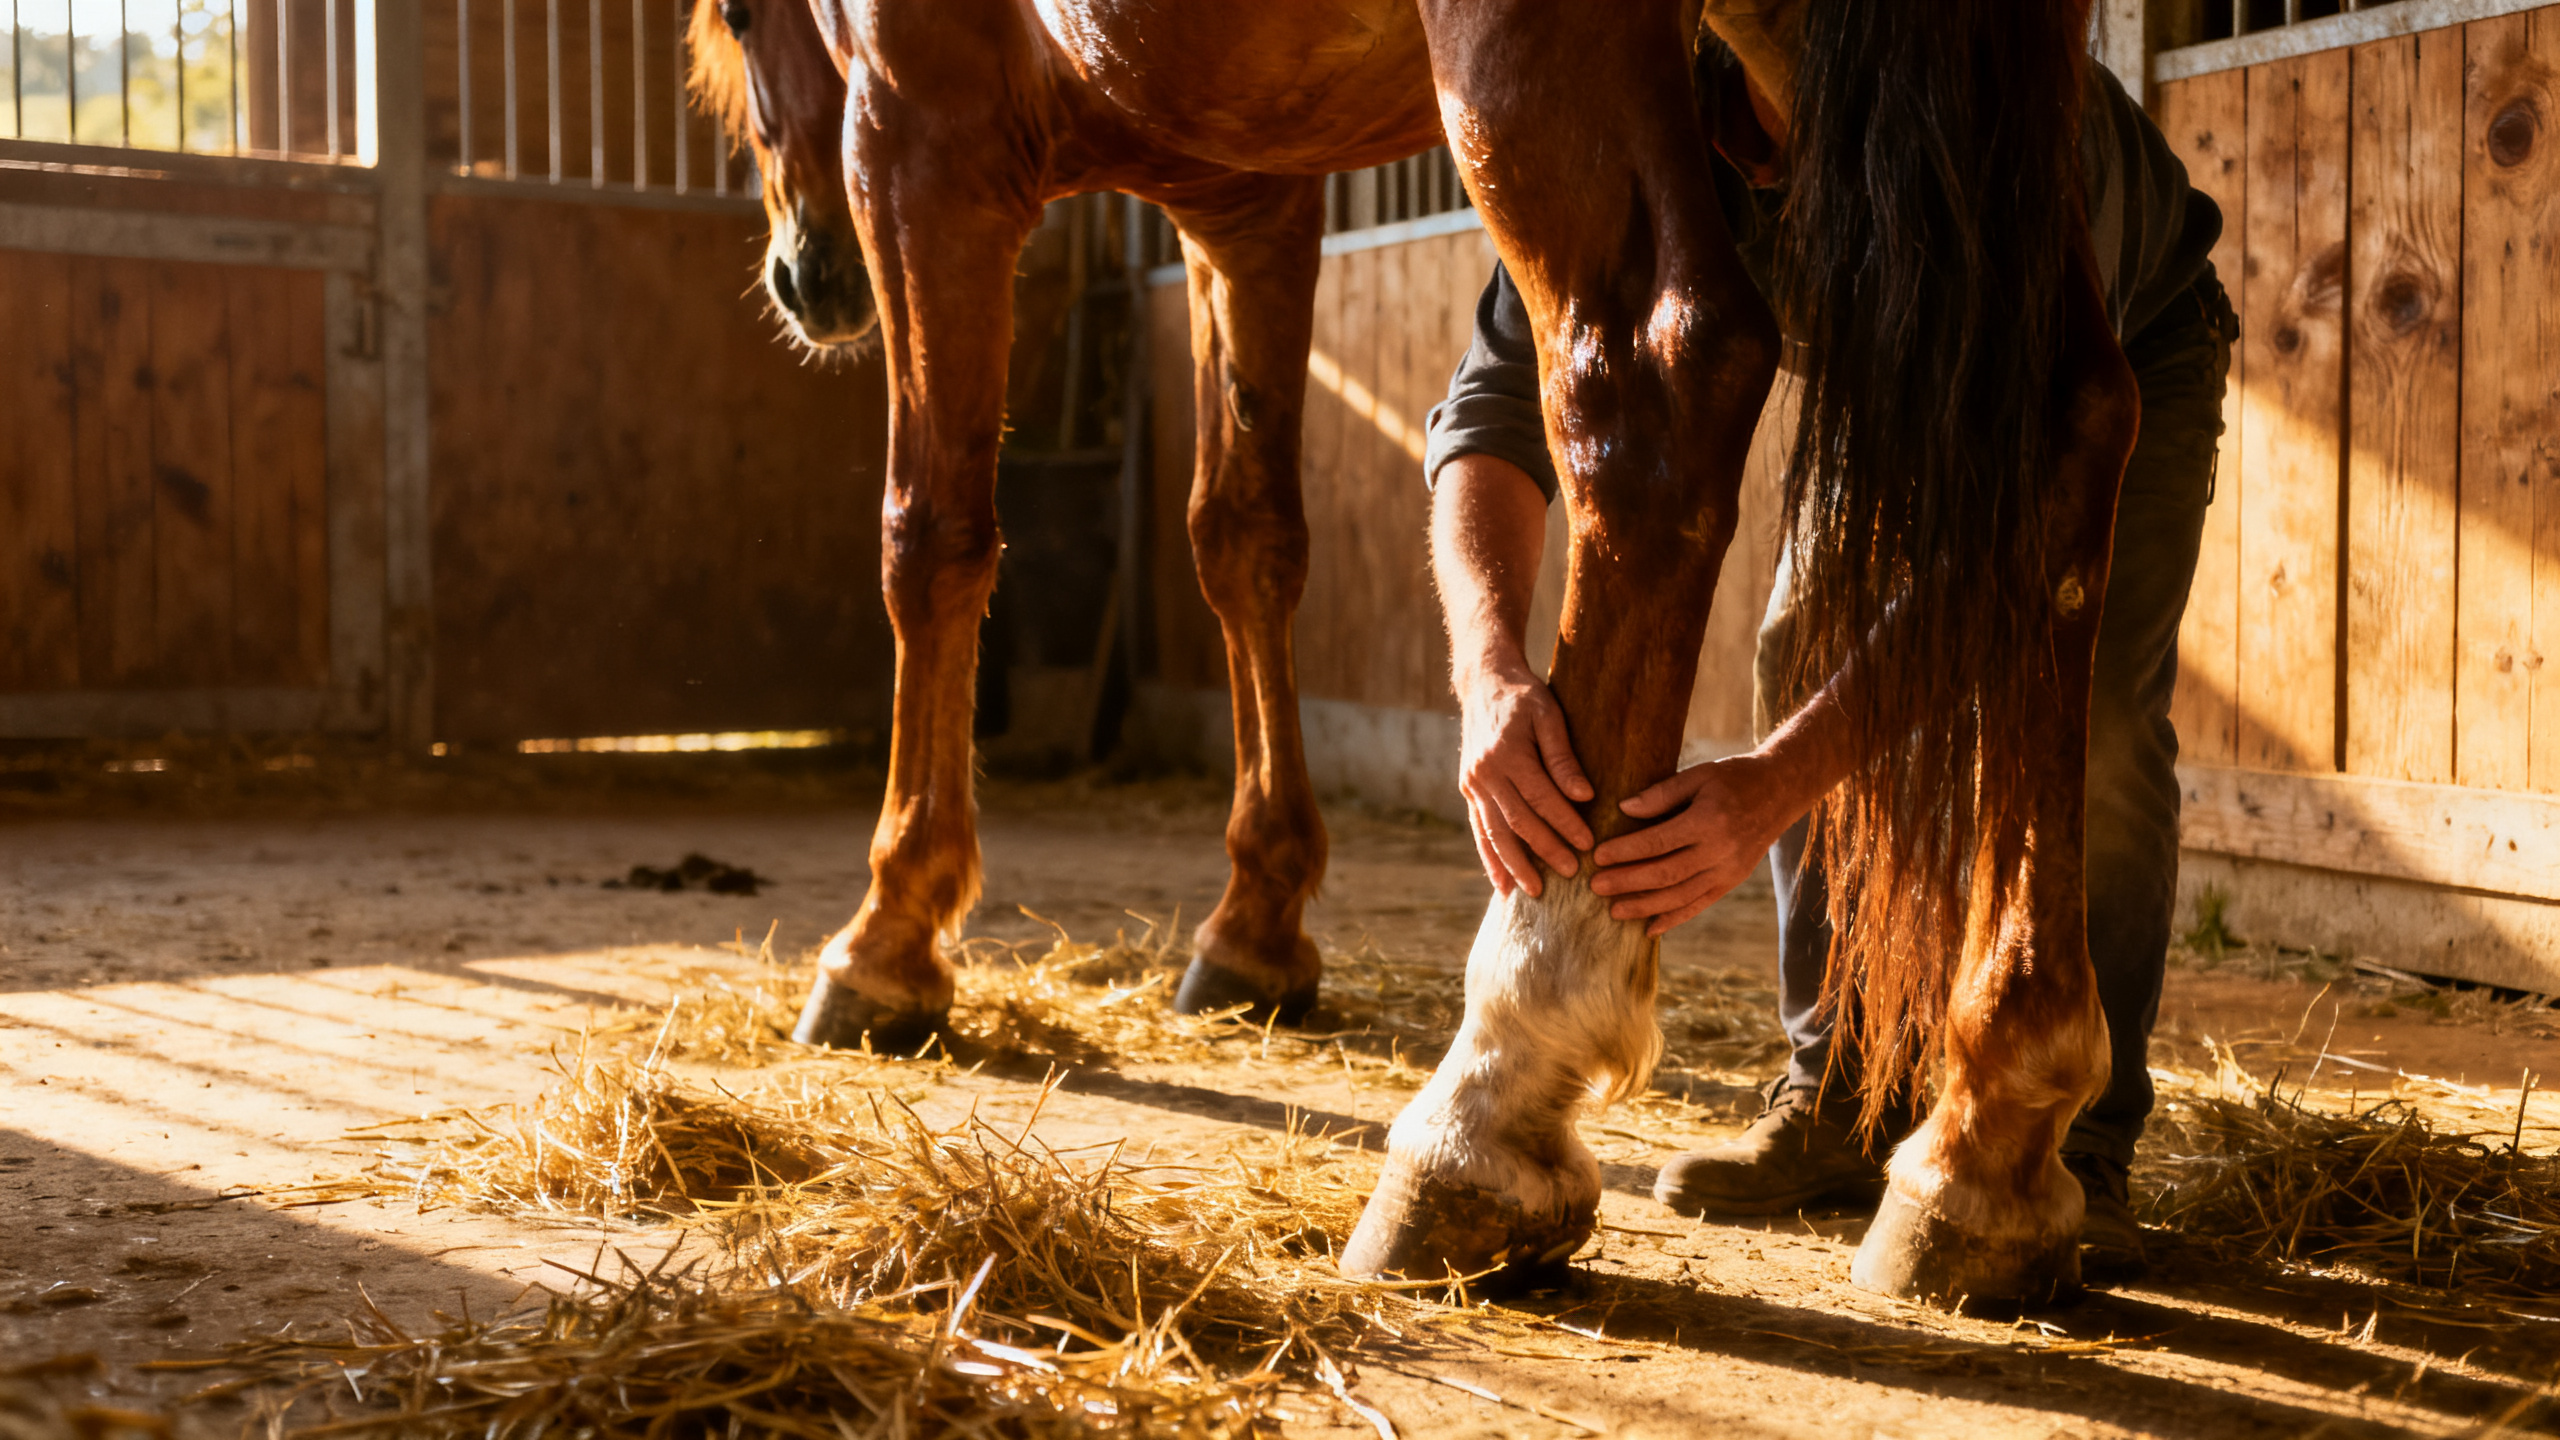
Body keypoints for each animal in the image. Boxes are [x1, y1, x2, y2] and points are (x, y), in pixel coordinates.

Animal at [690, 0, 2139, 1308]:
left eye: (748, 22)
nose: (808, 276)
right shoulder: (1246, 199)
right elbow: (1244, 535)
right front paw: (1257, 931)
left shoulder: (918, 132)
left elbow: (929, 537)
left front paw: (888, 940)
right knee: (2062, 427)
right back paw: (1989, 1139)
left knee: (1647, 376)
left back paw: (1490, 1105)